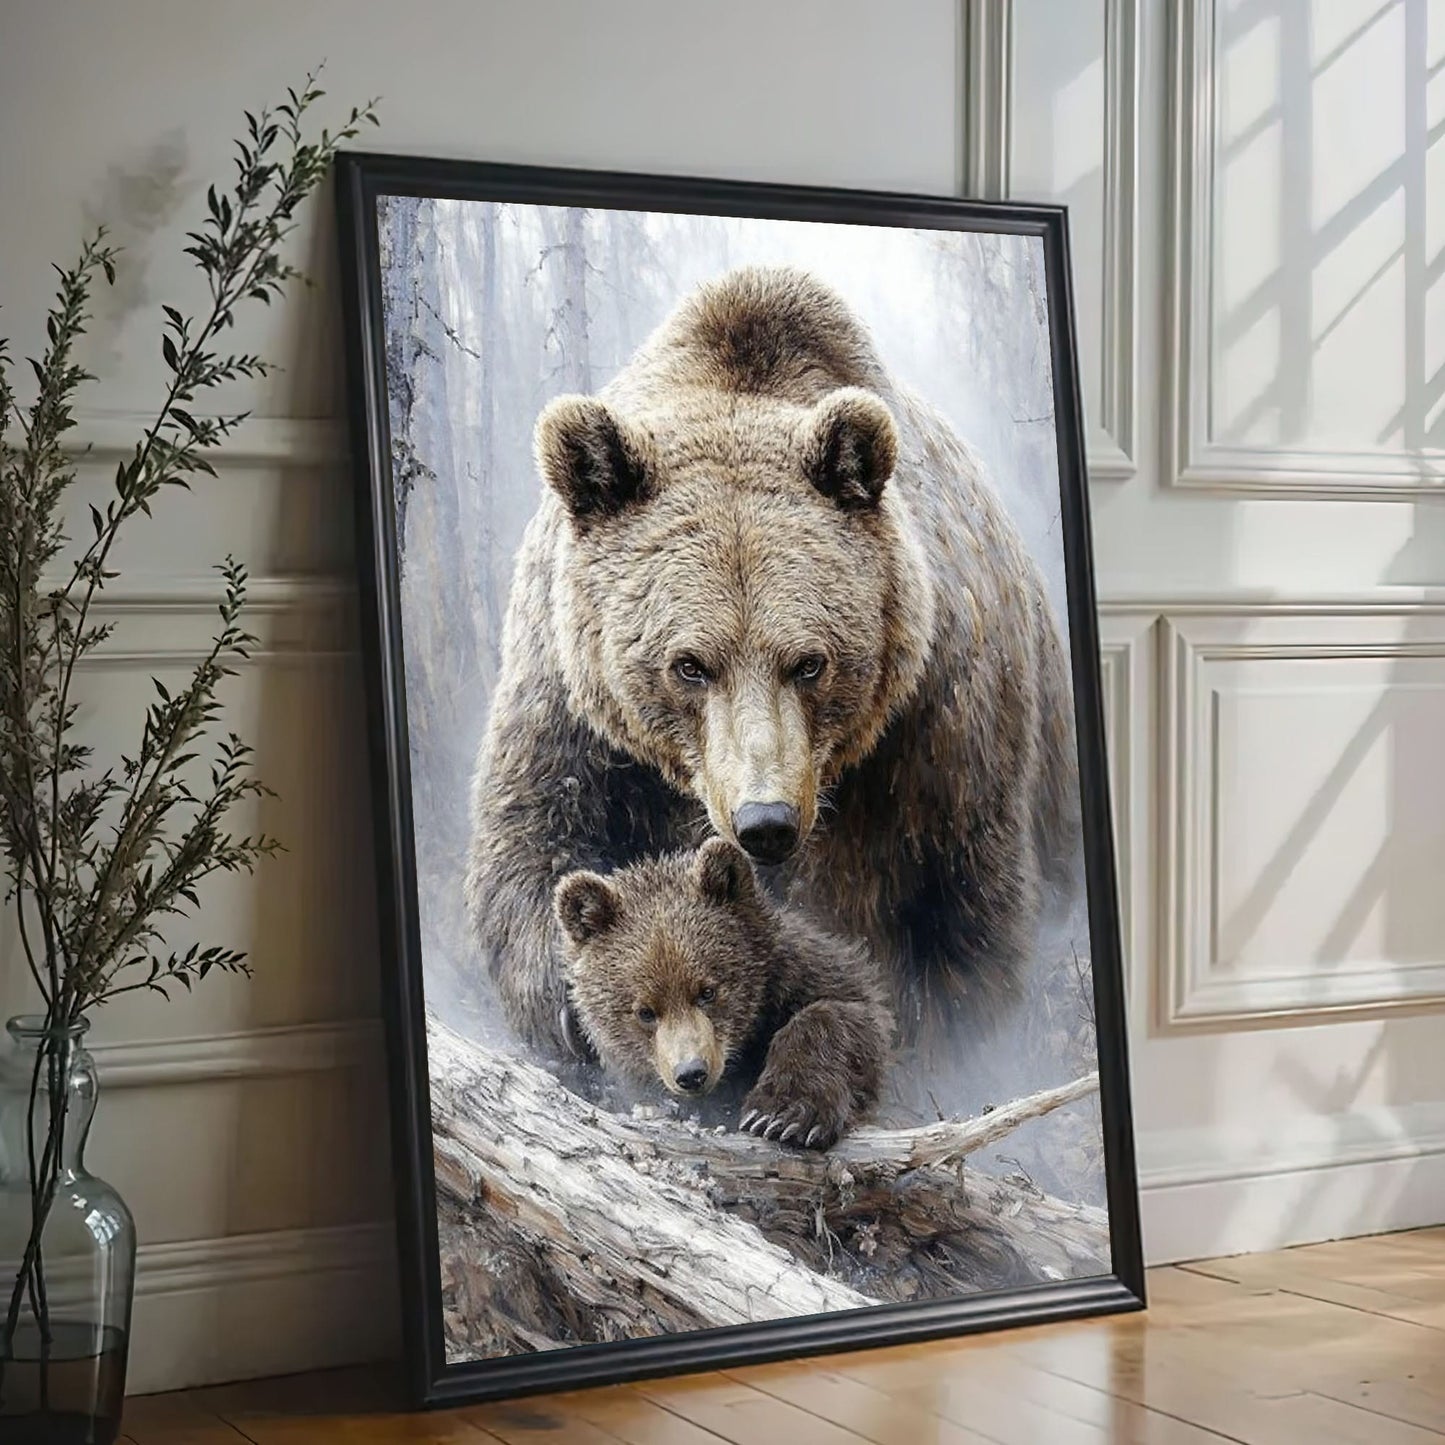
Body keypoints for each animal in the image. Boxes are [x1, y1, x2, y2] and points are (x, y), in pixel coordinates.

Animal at [464, 263, 1078, 1060]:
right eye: (689, 664)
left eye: (810, 662)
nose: (766, 821)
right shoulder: (571, 696)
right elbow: (536, 836)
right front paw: (579, 1006)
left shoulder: (933, 732)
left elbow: (959, 911)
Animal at [552, 837, 893, 1149]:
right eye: (645, 1011)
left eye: (707, 992)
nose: (692, 1073)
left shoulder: (809, 974)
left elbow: (845, 1013)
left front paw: (781, 1116)